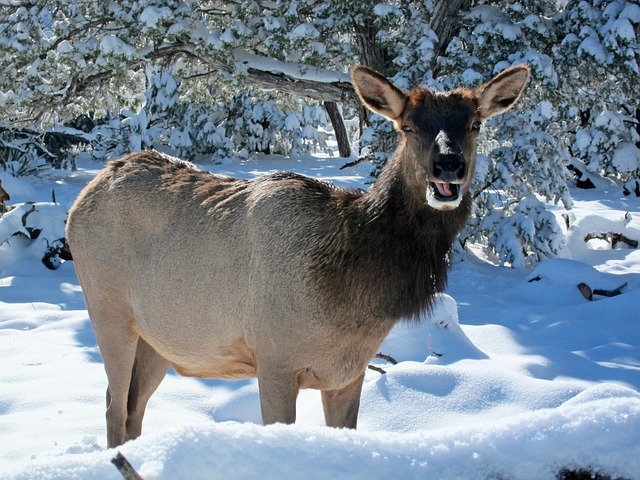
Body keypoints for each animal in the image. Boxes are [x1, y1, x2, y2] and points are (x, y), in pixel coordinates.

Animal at [66, 62, 528, 446]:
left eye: (475, 124)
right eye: (409, 126)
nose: (448, 166)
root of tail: (84, 195)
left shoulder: (348, 373)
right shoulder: (274, 359)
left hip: (159, 341)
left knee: (132, 409)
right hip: (108, 311)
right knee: (113, 407)